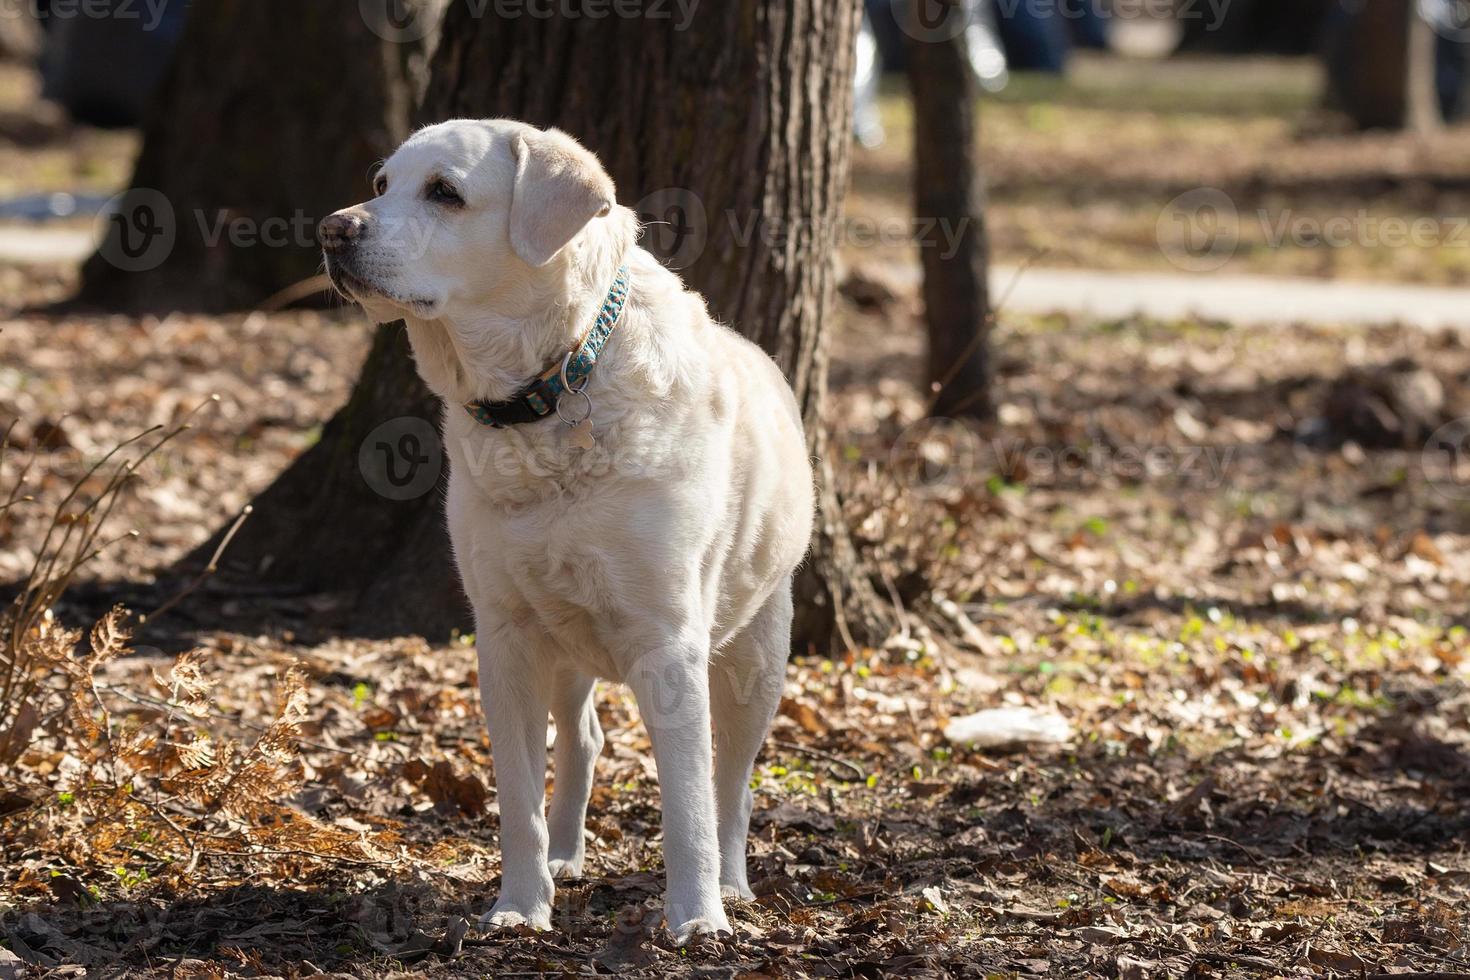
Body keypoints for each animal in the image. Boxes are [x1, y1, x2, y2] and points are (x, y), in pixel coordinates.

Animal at [320, 119, 817, 940]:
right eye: (382, 184)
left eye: (445, 192)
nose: (333, 229)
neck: (552, 386)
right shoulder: (507, 635)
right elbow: (518, 799)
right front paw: (522, 905)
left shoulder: (668, 641)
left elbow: (687, 802)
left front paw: (697, 920)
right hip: (566, 634)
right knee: (584, 740)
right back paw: (565, 856)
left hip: (758, 650)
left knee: (733, 776)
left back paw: (733, 883)